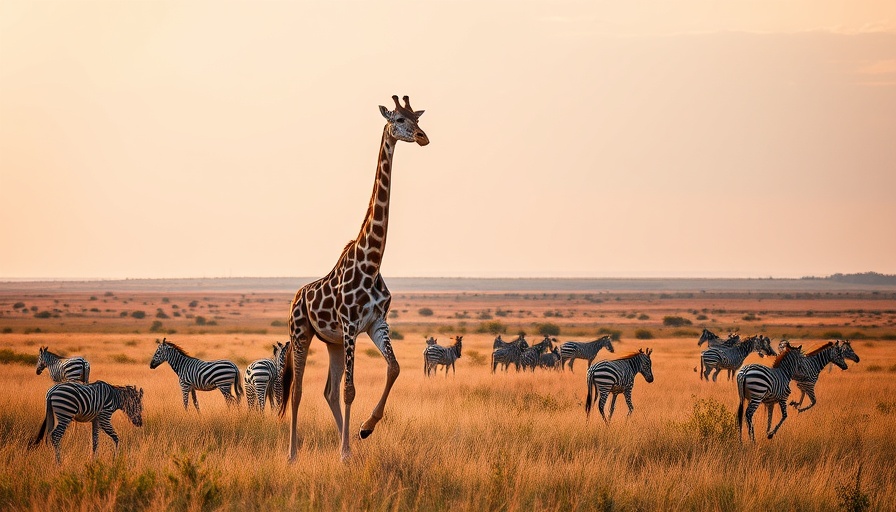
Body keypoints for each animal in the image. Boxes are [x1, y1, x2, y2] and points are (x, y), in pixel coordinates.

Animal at [280, 95, 429, 461]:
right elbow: (351, 389)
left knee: (328, 391)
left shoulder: (375, 324)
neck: (371, 262)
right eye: (399, 120)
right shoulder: (350, 326)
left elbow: (394, 368)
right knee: (298, 390)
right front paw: (347, 450)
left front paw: (364, 429)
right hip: (300, 333)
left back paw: (343, 442)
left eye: (416, 119)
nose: (422, 137)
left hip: (330, 341)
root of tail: (295, 297)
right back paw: (293, 454)